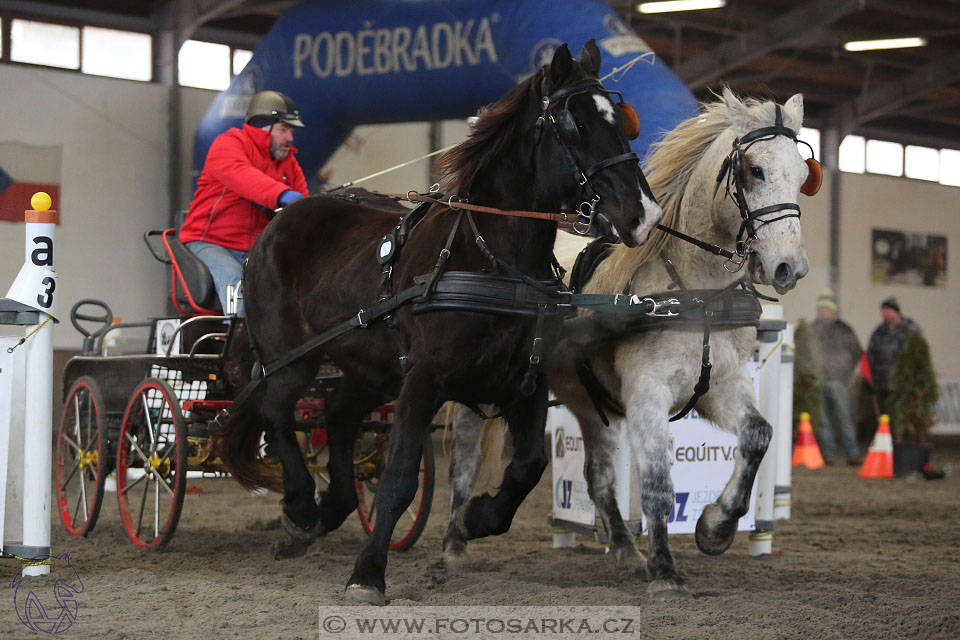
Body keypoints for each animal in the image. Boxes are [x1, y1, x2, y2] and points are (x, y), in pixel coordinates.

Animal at [221, 41, 664, 604]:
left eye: (623, 122)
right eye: (575, 125)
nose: (644, 216)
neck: (492, 260)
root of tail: (280, 220)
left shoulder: (524, 381)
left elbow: (528, 465)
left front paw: (476, 519)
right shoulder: (424, 378)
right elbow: (400, 477)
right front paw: (368, 573)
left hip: (369, 368)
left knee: (338, 415)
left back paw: (331, 506)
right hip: (290, 357)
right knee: (278, 412)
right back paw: (301, 509)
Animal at [446, 90, 820, 600]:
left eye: (804, 176)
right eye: (755, 170)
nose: (789, 268)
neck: (695, 292)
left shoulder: (723, 383)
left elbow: (758, 435)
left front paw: (716, 527)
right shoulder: (648, 394)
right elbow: (659, 482)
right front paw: (666, 571)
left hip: (588, 401)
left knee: (598, 475)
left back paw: (626, 552)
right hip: (479, 387)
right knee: (463, 458)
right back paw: (454, 542)